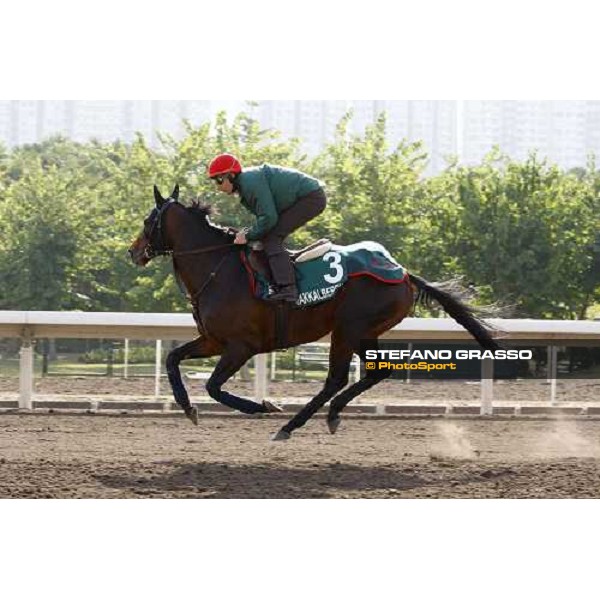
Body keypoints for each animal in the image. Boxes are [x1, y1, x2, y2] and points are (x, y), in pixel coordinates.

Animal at [129, 184, 500, 440]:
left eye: (148, 220)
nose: (133, 252)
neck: (218, 268)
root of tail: (404, 273)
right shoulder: (213, 341)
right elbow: (172, 359)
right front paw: (188, 408)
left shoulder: (240, 346)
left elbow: (213, 387)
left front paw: (261, 406)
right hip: (363, 332)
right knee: (377, 372)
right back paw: (331, 414)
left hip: (348, 329)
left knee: (335, 378)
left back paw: (290, 425)